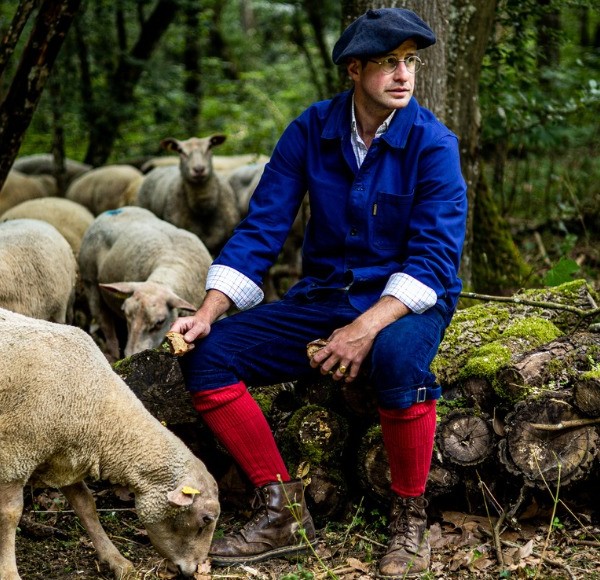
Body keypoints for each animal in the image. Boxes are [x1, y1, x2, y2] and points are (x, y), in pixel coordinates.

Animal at [0, 306, 220, 576]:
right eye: (206, 519)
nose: (197, 569)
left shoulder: (66, 457)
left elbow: (86, 506)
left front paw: (115, 560)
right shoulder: (15, 452)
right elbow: (10, 514)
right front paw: (9, 572)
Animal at [78, 206, 212, 360]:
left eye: (160, 322)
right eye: (125, 312)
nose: (131, 355)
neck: (171, 263)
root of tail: (113, 210)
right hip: (90, 282)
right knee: (104, 321)